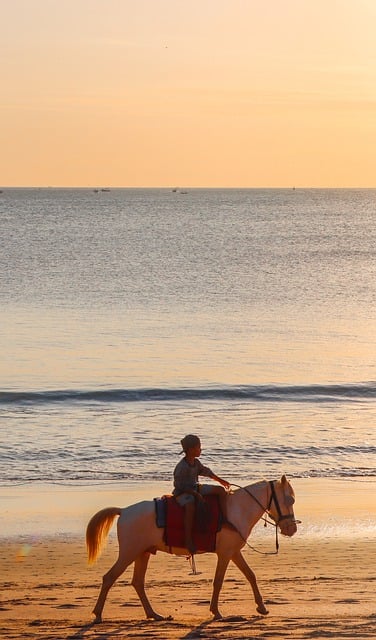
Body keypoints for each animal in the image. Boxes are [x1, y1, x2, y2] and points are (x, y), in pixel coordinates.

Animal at [86, 476, 296, 620]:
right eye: (290, 500)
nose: (292, 529)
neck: (236, 510)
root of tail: (123, 511)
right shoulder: (225, 554)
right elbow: (218, 581)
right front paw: (216, 611)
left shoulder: (234, 552)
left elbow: (250, 575)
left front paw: (262, 607)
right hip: (128, 553)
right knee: (109, 578)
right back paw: (98, 614)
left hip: (142, 553)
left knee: (137, 582)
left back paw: (153, 614)